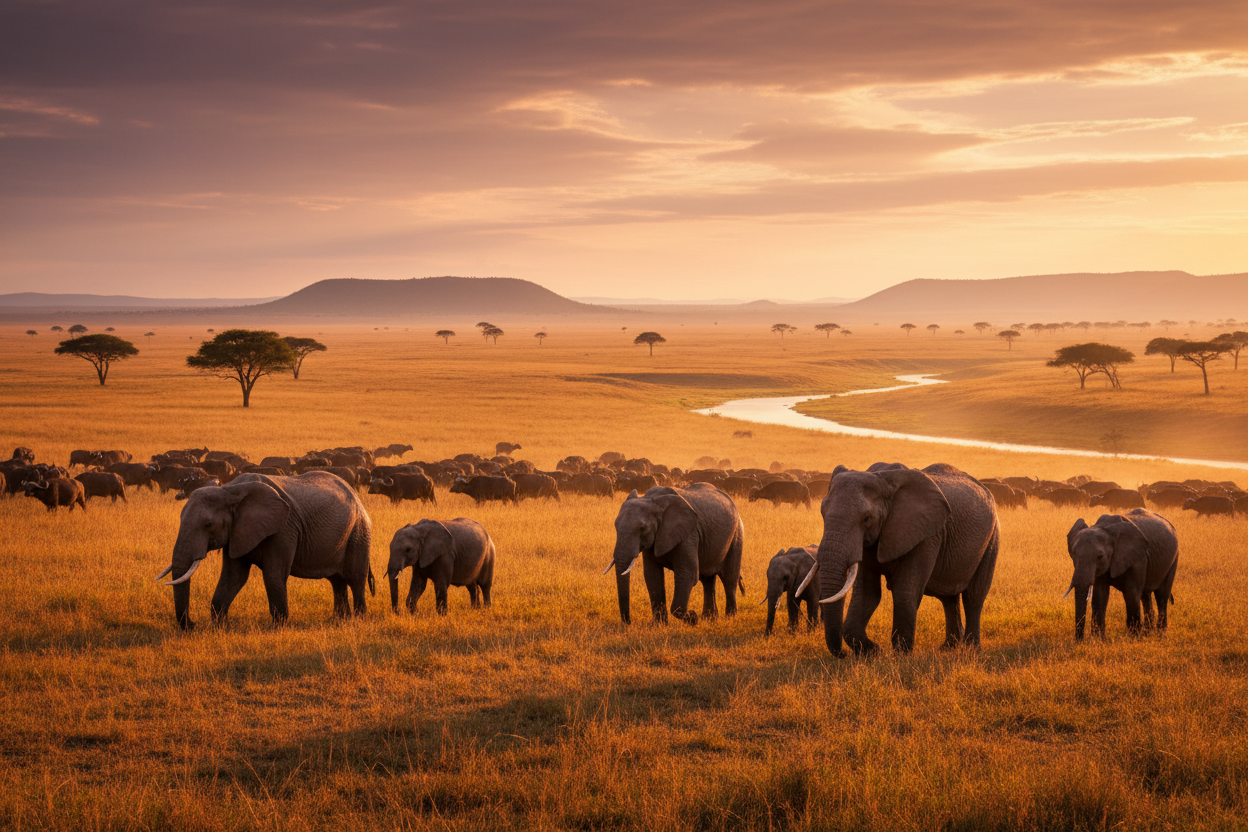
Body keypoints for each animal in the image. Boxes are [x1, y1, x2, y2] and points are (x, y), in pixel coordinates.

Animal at [156, 471, 373, 630]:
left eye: (208, 524)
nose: (192, 625)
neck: (230, 490)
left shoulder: (284, 528)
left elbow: (273, 574)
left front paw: (278, 628)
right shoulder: (236, 533)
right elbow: (233, 577)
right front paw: (219, 628)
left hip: (358, 533)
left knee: (356, 579)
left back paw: (358, 620)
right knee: (337, 581)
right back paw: (339, 620)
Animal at [604, 484, 745, 625]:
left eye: (643, 529)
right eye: (615, 525)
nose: (629, 622)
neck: (652, 500)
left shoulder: (689, 535)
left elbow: (687, 574)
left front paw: (693, 618)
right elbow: (652, 576)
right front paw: (659, 625)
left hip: (736, 535)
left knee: (729, 578)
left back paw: (730, 618)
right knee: (707, 580)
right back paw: (709, 619)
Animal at [810, 462, 999, 655]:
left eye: (866, 519)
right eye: (822, 513)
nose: (843, 654)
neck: (883, 479)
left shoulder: (926, 535)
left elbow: (905, 590)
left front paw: (901, 654)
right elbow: (867, 593)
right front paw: (873, 652)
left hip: (992, 538)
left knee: (974, 596)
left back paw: (971, 649)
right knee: (949, 597)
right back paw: (948, 648)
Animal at [1066, 509, 1178, 640]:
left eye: (1100, 556)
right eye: (1073, 554)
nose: (1079, 641)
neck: (1105, 528)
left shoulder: (1137, 559)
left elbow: (1131, 594)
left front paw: (1134, 639)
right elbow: (1100, 596)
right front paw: (1099, 640)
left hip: (1173, 558)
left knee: (1161, 596)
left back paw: (1161, 634)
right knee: (1145, 595)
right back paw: (1148, 633)